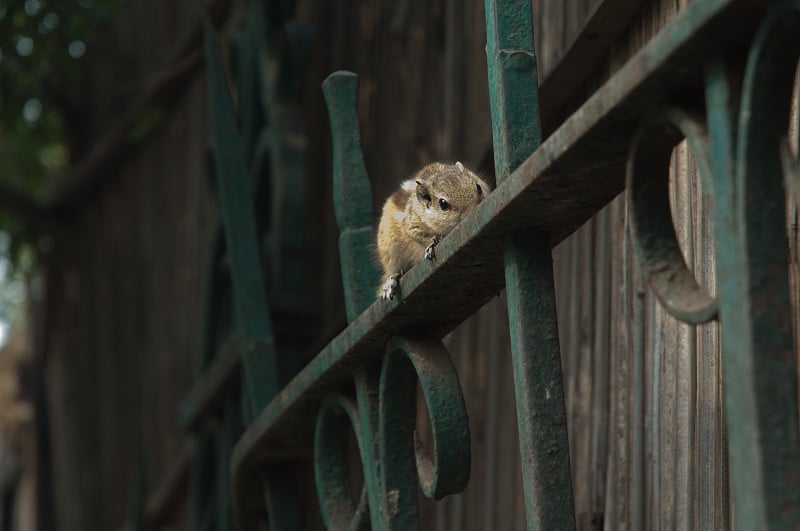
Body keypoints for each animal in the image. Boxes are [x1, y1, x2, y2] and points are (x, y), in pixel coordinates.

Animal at [378, 160, 490, 302]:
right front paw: (431, 245)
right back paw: (390, 281)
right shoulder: (412, 225)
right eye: (443, 204)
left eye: (479, 187)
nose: (473, 211)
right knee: (392, 270)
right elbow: (419, 236)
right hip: (390, 252)